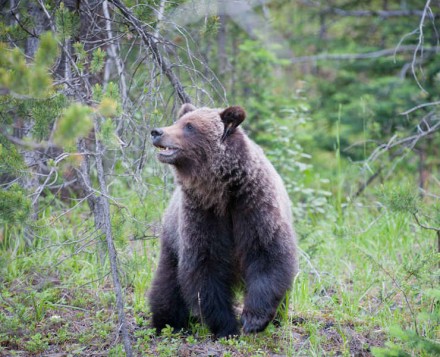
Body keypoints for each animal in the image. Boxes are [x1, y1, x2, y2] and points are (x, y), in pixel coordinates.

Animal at [150, 103, 298, 336]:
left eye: (189, 126)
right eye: (177, 122)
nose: (157, 132)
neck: (222, 191)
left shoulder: (254, 205)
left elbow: (268, 255)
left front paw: (253, 319)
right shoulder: (203, 214)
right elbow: (205, 266)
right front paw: (227, 326)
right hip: (172, 239)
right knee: (168, 282)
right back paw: (167, 322)